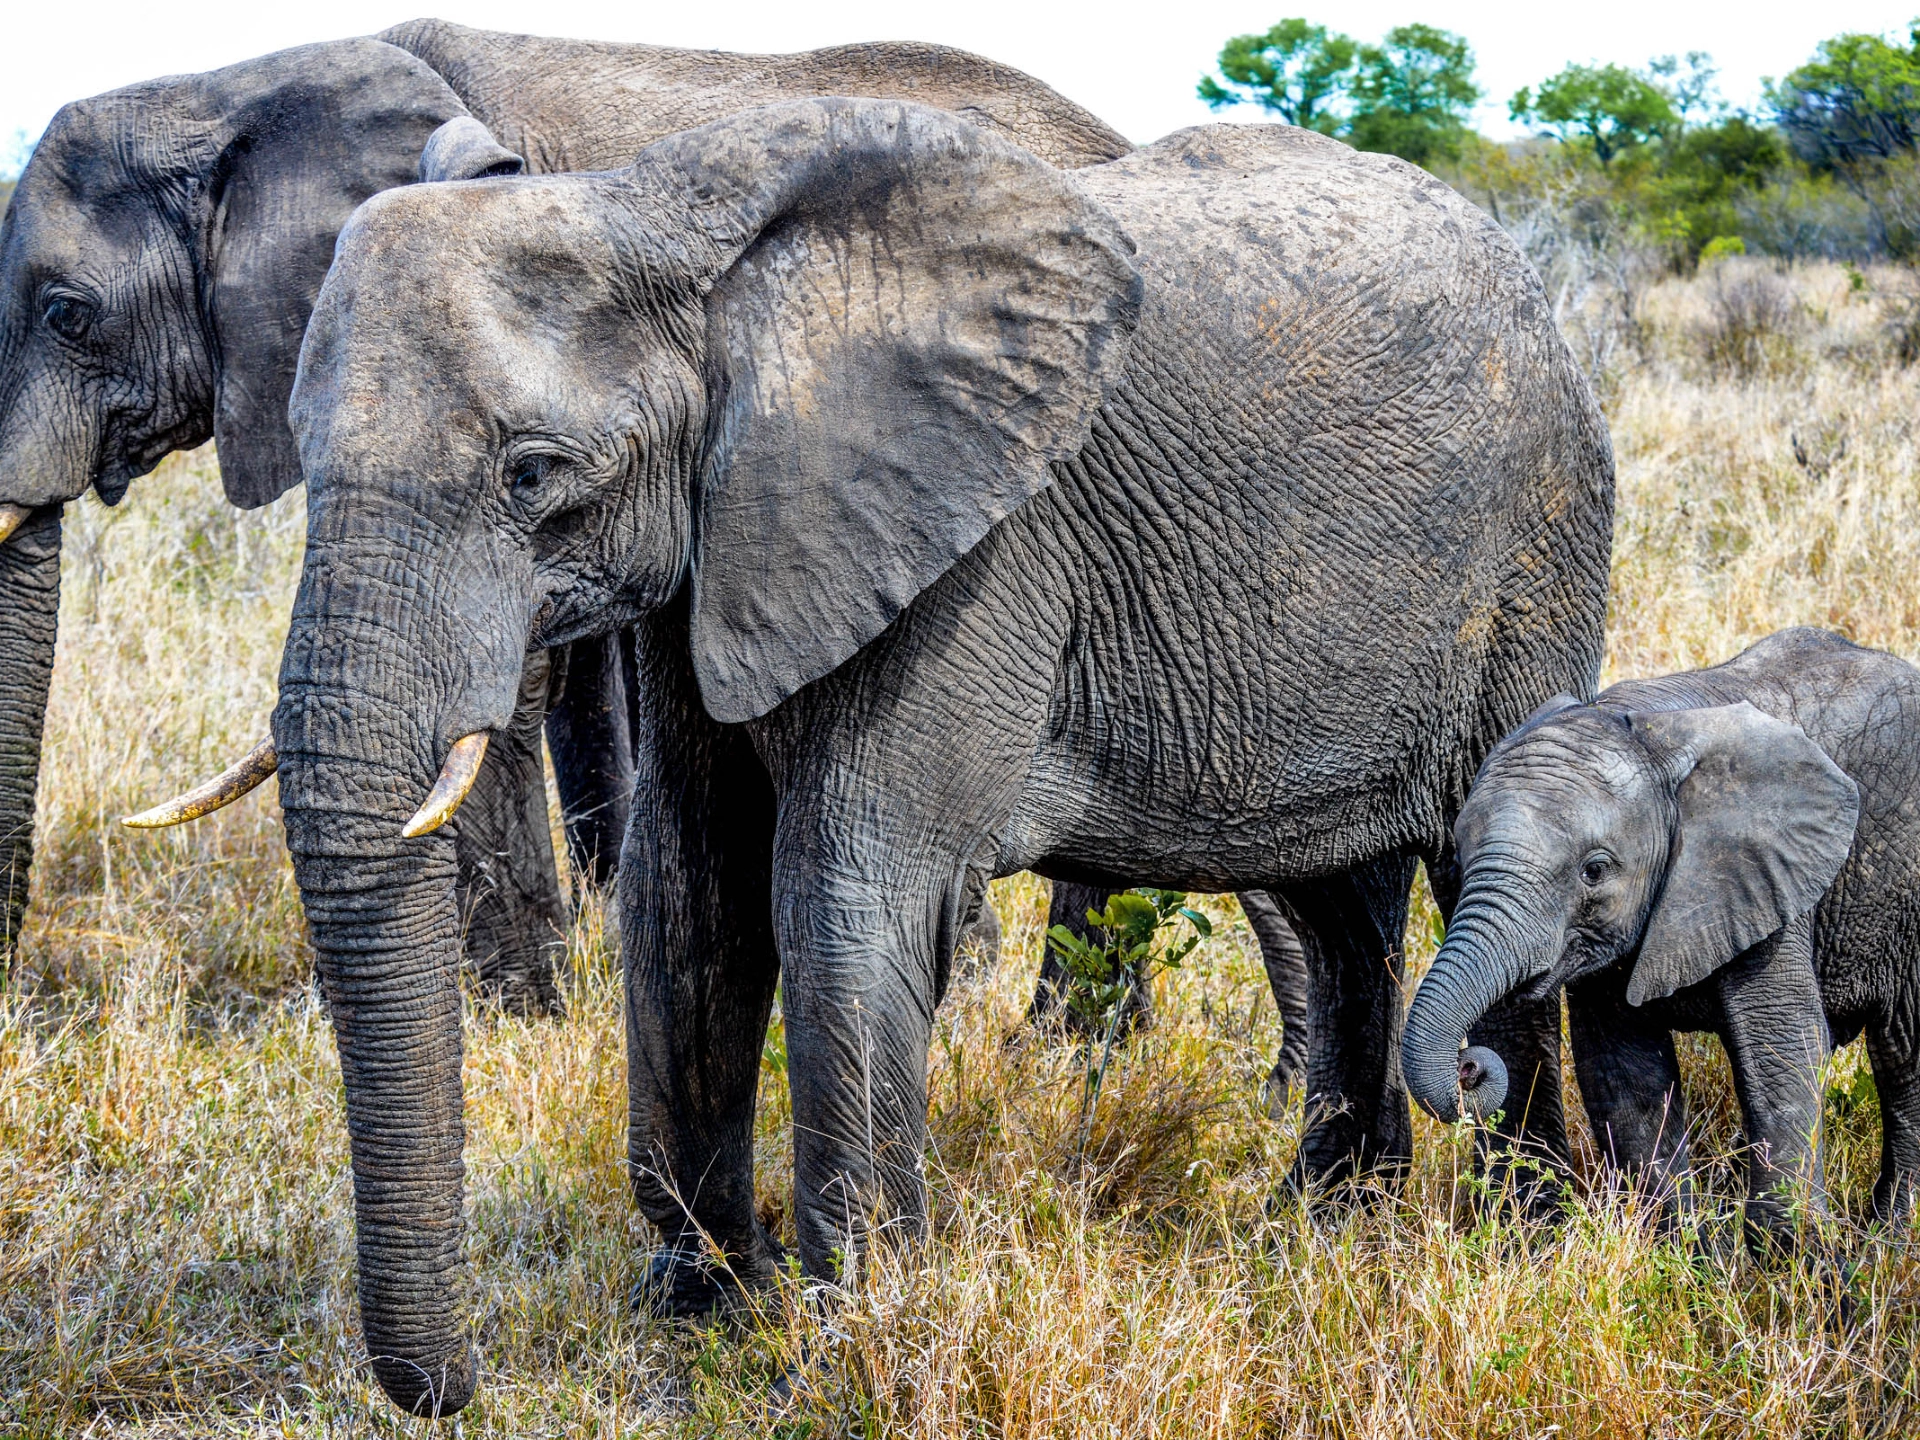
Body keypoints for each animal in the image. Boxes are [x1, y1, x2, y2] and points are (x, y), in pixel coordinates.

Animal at [157, 104, 1612, 1420]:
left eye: (532, 473)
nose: (456, 1389)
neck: (662, 221)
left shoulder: (978, 545)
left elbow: (845, 892)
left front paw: (849, 1351)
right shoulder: (722, 542)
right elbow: (690, 887)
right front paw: (699, 1305)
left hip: (1538, 544)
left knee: (1471, 860)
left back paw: (1526, 1242)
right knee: (1335, 901)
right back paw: (1326, 1226)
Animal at [1397, 629, 1920, 1251]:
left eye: (1595, 871)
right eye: (1459, 852)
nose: (1469, 1066)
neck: (1651, 733)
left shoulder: (1771, 879)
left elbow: (1781, 1051)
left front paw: (1792, 1267)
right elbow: (1624, 1072)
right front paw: (1689, 1254)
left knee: (1905, 1059)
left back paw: (1889, 1243)